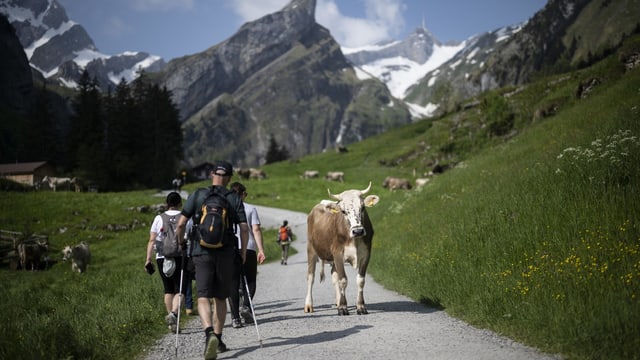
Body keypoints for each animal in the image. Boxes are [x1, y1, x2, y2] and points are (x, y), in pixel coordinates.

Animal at [304, 183, 380, 316]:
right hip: (311, 249)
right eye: (343, 211)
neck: (355, 241)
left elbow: (360, 280)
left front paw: (360, 306)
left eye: (363, 208)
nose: (358, 231)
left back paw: (338, 301)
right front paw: (343, 308)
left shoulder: (366, 254)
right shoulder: (338, 254)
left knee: (334, 275)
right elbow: (343, 280)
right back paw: (309, 305)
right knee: (311, 277)